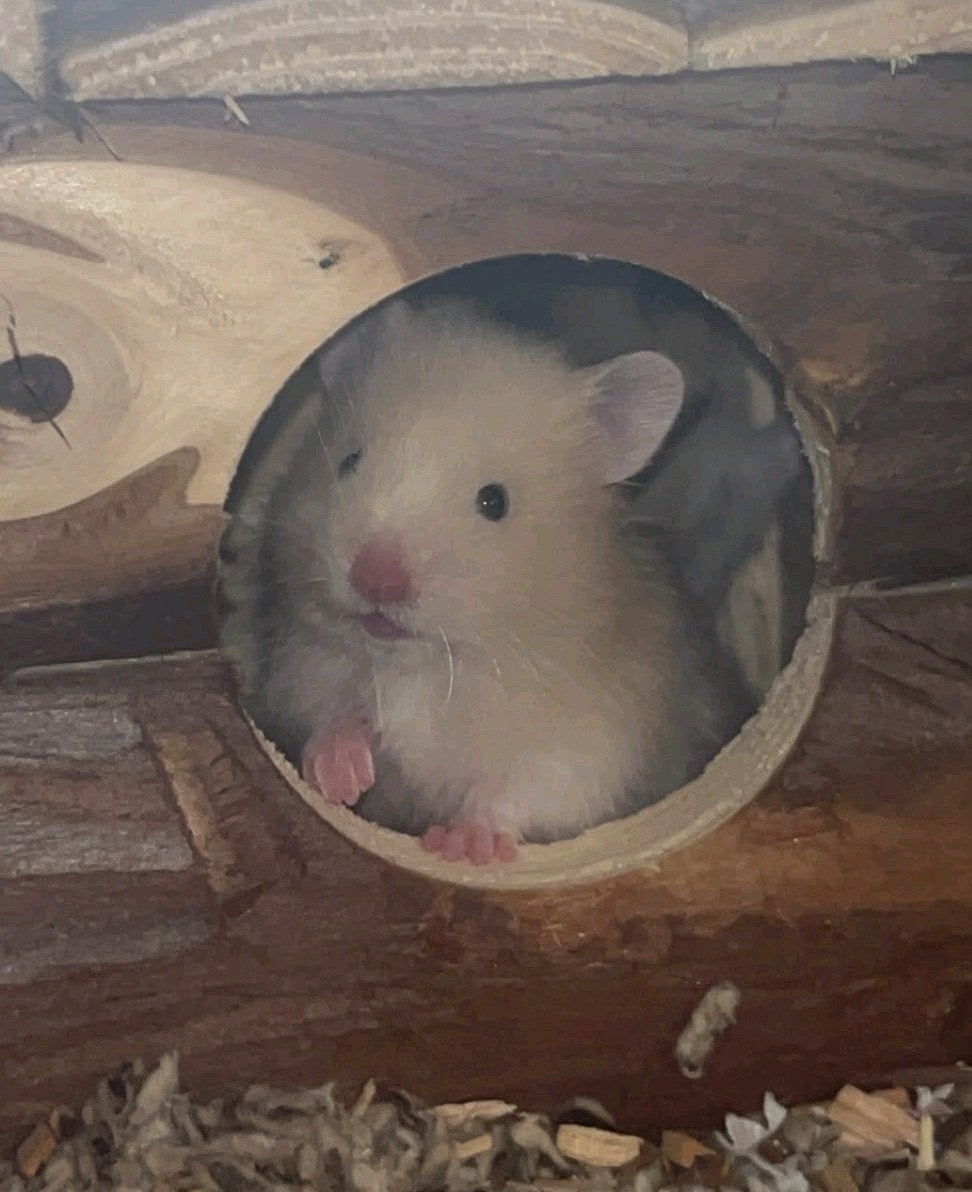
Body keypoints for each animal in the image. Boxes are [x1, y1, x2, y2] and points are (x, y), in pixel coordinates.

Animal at [222, 298, 735, 865]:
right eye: (348, 461)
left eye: (495, 501)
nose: (376, 581)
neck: (428, 666)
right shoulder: (305, 667)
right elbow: (329, 712)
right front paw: (341, 778)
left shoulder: (588, 742)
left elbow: (522, 788)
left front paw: (461, 845)